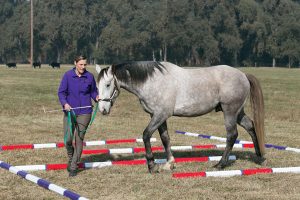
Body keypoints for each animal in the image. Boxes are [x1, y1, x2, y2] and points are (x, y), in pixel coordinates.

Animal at [96, 61, 264, 173]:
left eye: (108, 85)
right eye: (97, 85)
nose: (103, 109)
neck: (152, 81)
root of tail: (243, 75)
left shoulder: (160, 114)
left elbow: (146, 135)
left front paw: (152, 165)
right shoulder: (158, 116)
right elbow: (165, 139)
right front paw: (169, 163)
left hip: (230, 112)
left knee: (232, 135)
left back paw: (221, 164)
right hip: (237, 113)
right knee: (251, 126)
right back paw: (260, 157)